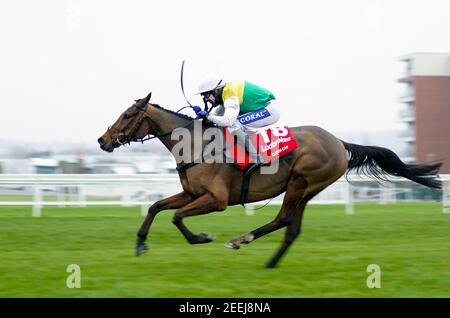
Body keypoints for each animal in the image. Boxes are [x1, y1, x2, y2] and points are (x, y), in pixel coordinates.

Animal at [96, 92, 442, 268]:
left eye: (128, 115)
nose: (102, 140)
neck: (196, 144)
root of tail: (338, 141)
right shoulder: (191, 193)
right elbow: (156, 207)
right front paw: (140, 244)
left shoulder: (216, 200)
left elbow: (177, 217)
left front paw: (202, 238)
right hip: (307, 189)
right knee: (292, 227)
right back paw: (271, 262)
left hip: (301, 181)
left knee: (283, 218)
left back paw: (241, 239)